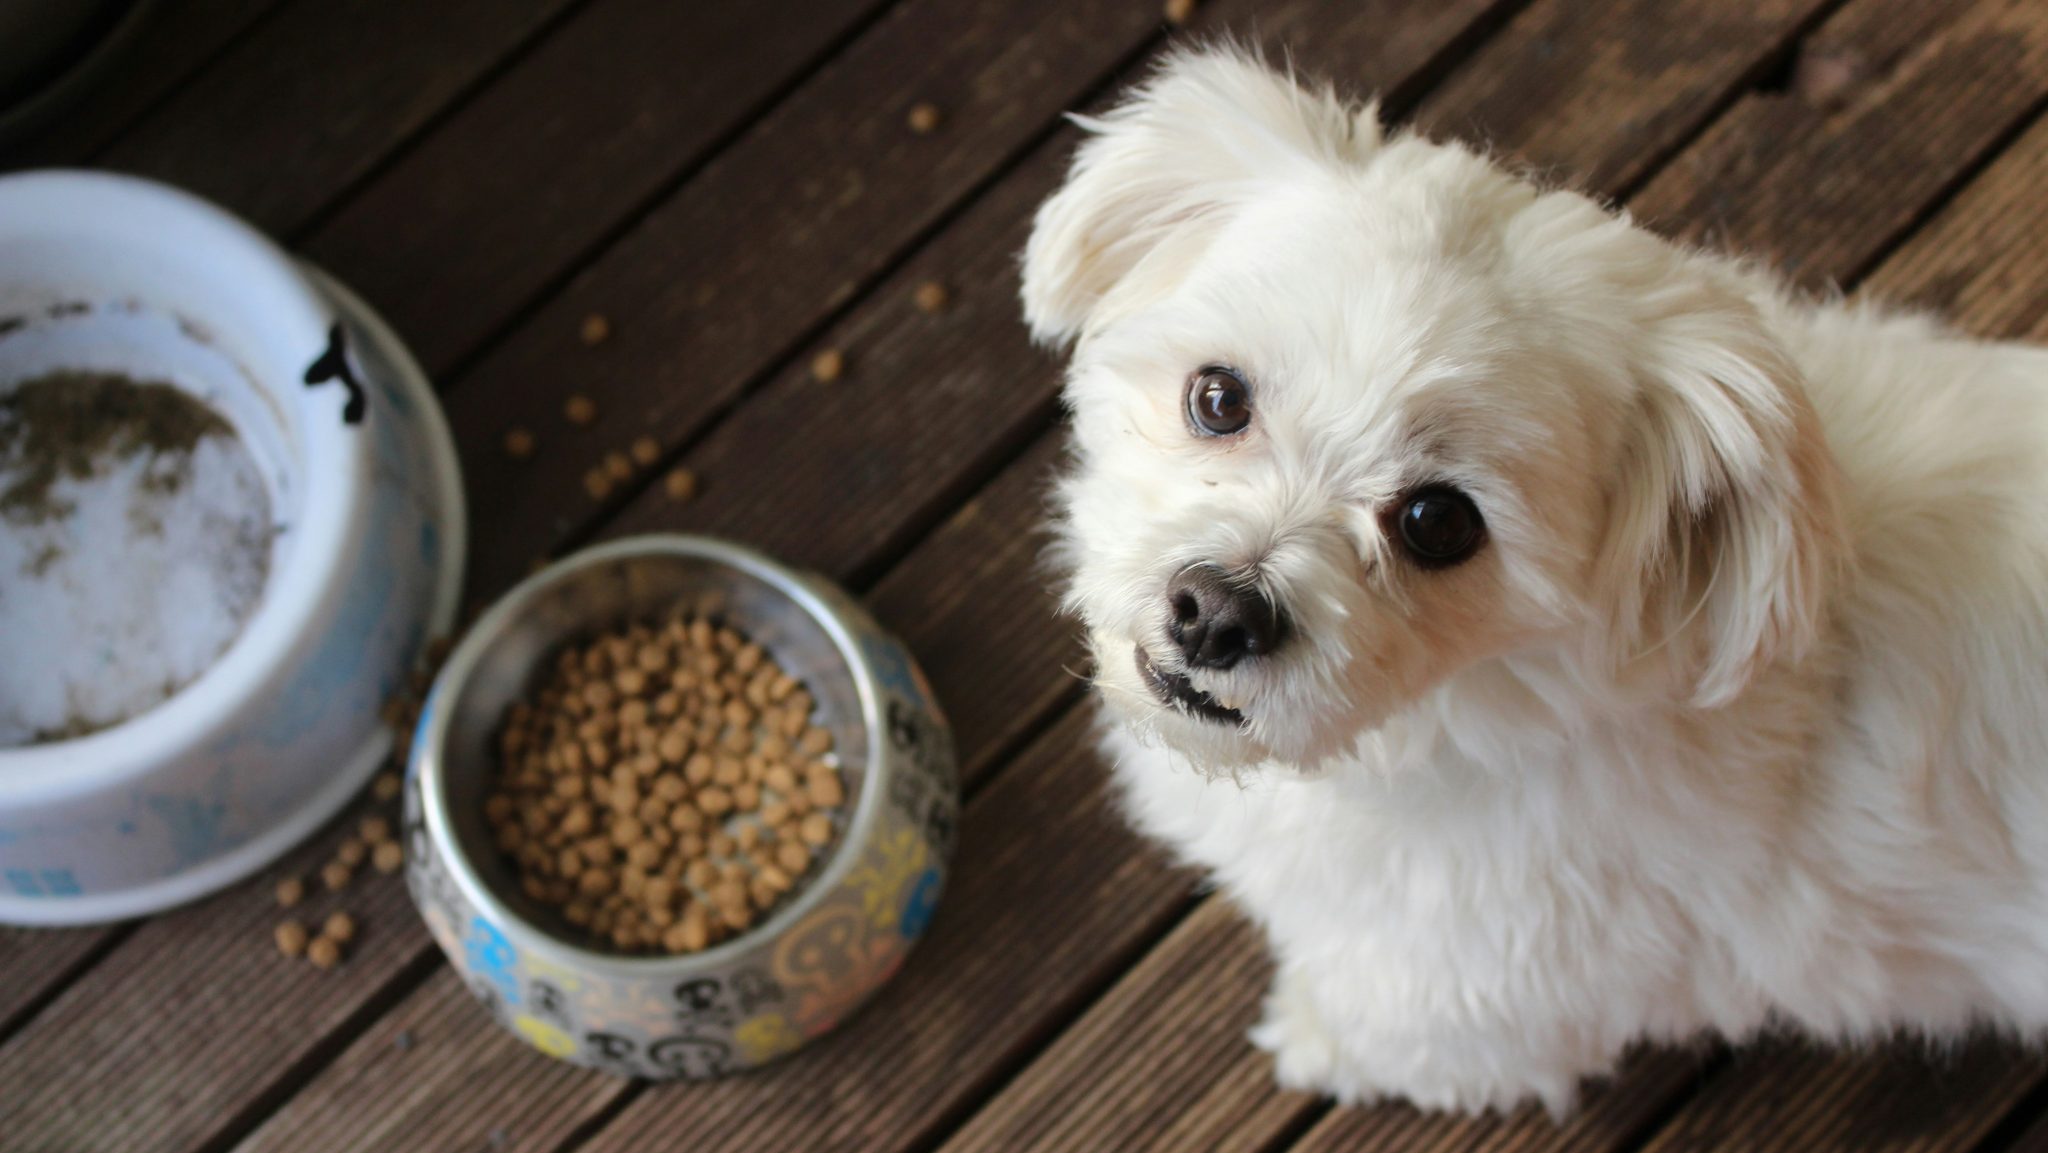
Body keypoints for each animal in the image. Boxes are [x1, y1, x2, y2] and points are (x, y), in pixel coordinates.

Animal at [1024, 47, 2048, 1122]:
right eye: (1218, 397)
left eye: (1439, 522)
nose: (1218, 612)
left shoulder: (1479, 998)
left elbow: (1387, 1030)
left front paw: (1308, 1035)